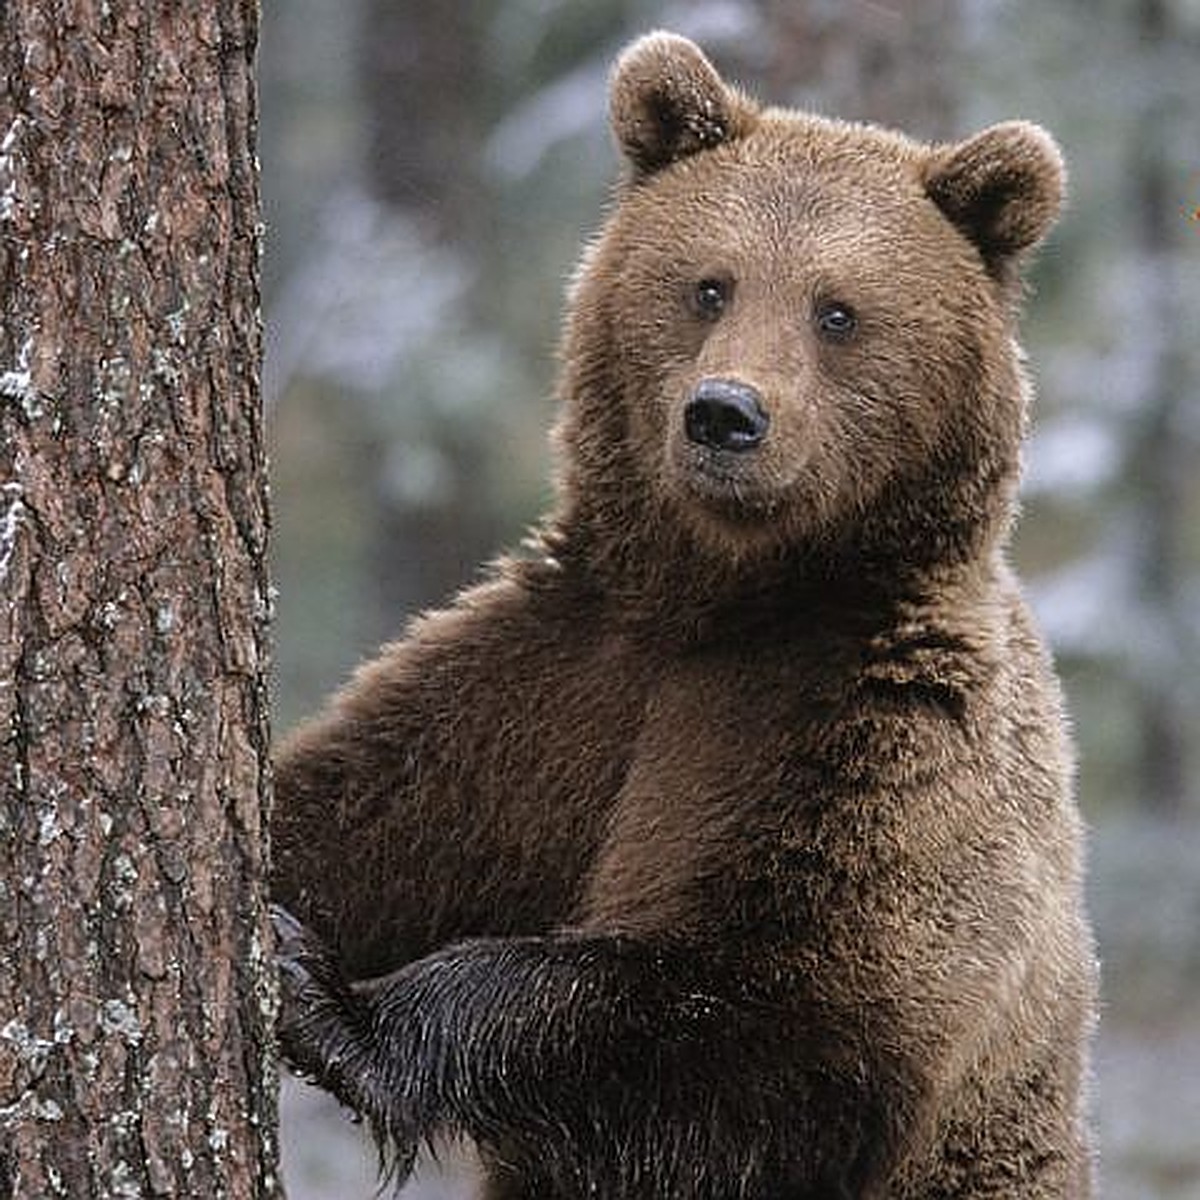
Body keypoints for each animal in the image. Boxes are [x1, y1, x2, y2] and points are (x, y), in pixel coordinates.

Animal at [272, 30, 1099, 1200]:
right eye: (709, 284)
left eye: (837, 310)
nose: (726, 414)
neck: (728, 597)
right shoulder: (555, 682)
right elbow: (358, 812)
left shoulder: (876, 736)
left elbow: (767, 1018)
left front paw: (336, 1006)